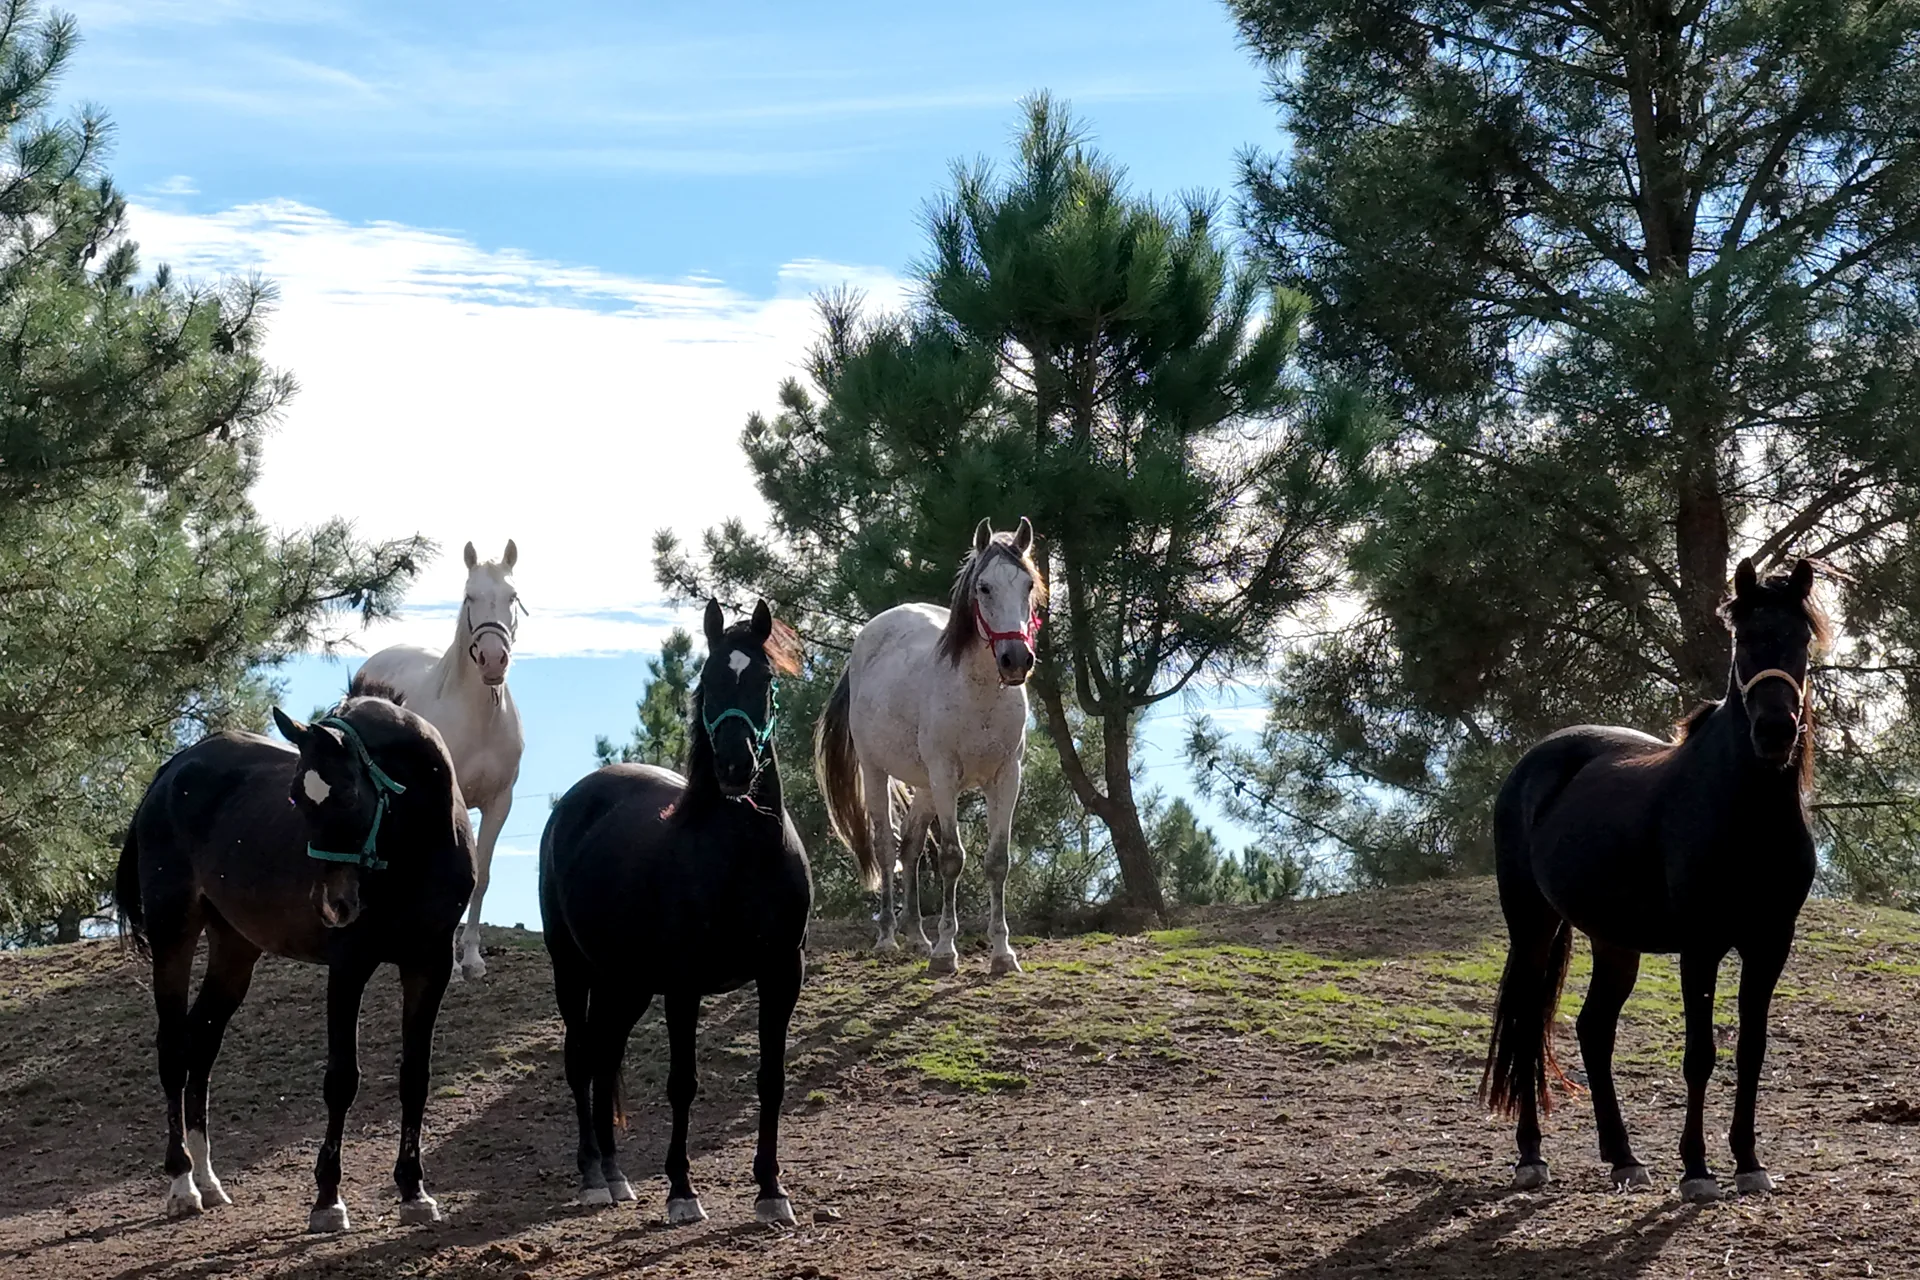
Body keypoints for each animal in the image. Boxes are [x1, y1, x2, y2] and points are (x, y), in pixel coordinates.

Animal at [116, 677, 476, 1231]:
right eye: (297, 798)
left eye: (346, 794)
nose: (333, 906)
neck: (414, 844)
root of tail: (171, 771)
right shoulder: (349, 966)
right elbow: (342, 1079)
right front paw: (328, 1198)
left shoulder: (429, 964)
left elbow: (415, 1077)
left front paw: (414, 1191)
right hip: (173, 930)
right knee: (174, 1048)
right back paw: (182, 1183)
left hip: (234, 949)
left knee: (202, 1043)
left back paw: (209, 1178)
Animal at [357, 538, 524, 981]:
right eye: (469, 597)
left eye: (512, 596)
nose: (493, 660)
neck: (480, 717)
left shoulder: (500, 802)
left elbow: (481, 876)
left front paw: (472, 959)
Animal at [539, 598, 810, 1224]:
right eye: (707, 681)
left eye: (764, 681)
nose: (735, 766)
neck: (742, 858)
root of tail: (576, 802)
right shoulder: (685, 985)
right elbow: (682, 1082)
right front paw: (683, 1192)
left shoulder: (782, 974)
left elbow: (771, 1079)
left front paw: (771, 1190)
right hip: (573, 969)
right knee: (581, 1059)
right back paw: (593, 1176)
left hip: (626, 983)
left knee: (605, 1056)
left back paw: (616, 1175)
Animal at [815, 517, 1044, 976]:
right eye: (984, 587)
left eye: (1028, 584)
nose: (1016, 660)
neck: (979, 695)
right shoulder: (946, 777)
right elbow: (952, 858)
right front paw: (945, 952)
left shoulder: (1006, 778)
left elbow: (998, 861)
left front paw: (1002, 953)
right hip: (880, 772)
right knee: (887, 847)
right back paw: (888, 938)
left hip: (923, 785)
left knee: (910, 845)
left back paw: (916, 935)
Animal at [1481, 557, 1825, 1203]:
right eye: (1746, 640)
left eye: (1801, 640)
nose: (1774, 731)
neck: (1745, 812)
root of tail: (1533, 763)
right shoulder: (1701, 947)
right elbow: (1699, 1055)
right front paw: (1696, 1170)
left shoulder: (1770, 943)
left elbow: (1751, 1049)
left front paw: (1748, 1163)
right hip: (1533, 925)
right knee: (1528, 1025)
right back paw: (1531, 1157)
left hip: (1614, 940)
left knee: (1594, 1029)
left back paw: (1624, 1158)